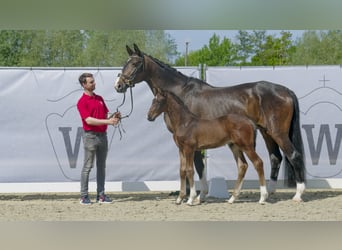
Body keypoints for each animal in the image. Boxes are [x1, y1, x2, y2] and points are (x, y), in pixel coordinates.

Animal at [115, 44, 308, 202]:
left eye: (135, 63)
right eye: (125, 62)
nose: (118, 85)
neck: (181, 92)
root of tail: (286, 91)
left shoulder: (192, 141)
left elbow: (196, 165)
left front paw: (196, 195)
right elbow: (189, 166)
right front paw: (191, 195)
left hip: (278, 132)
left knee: (293, 155)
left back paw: (297, 194)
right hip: (266, 132)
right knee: (276, 158)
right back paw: (269, 193)